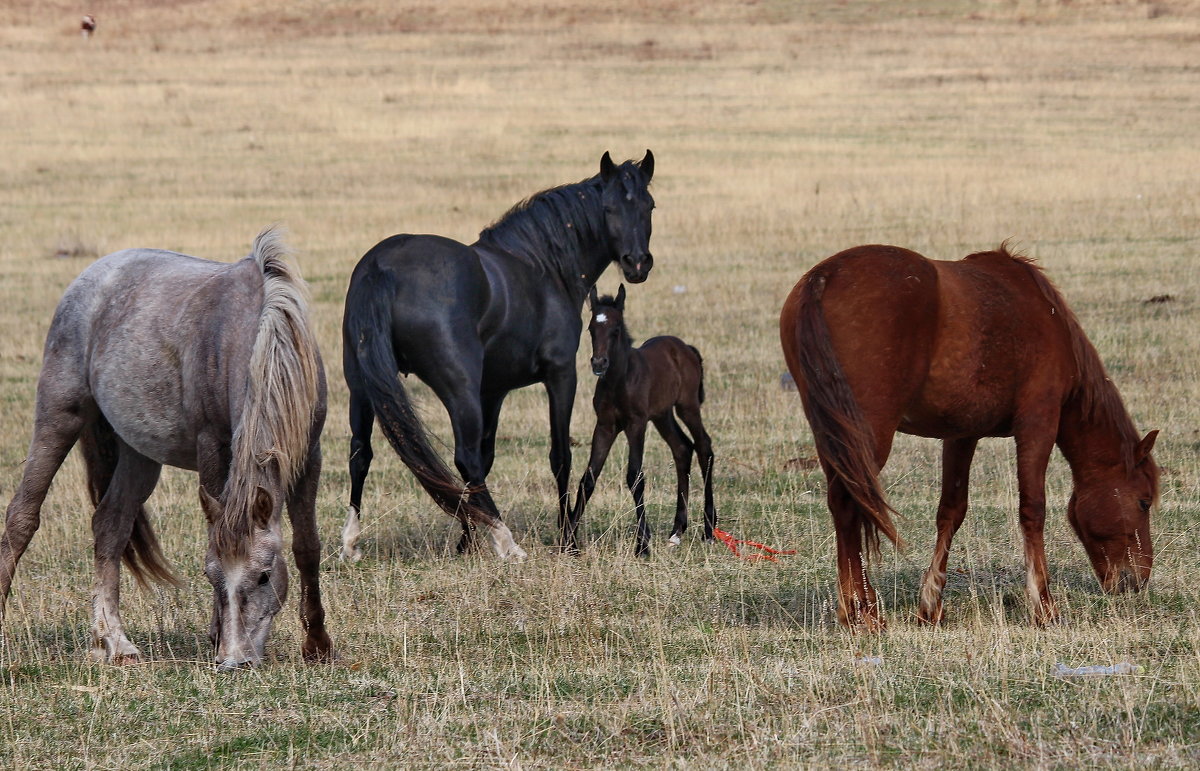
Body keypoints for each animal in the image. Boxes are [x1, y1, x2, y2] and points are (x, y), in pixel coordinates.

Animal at [0, 228, 331, 667]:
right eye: (210, 575)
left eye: (263, 576)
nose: (235, 660)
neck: (260, 336)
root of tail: (91, 276)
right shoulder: (214, 447)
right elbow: (218, 532)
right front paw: (217, 634)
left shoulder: (309, 455)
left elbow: (306, 546)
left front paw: (319, 645)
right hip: (59, 417)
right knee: (22, 516)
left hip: (138, 455)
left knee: (110, 525)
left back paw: (114, 641)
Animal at [338, 150, 657, 557]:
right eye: (610, 208)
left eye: (648, 206)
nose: (637, 263)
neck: (542, 267)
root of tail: (382, 266)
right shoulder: (561, 375)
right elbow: (560, 456)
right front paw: (567, 539)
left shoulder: (494, 391)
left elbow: (488, 458)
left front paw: (467, 539)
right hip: (458, 390)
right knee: (465, 457)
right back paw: (507, 543)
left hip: (361, 386)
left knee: (361, 452)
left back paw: (351, 542)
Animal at [566, 282, 715, 552]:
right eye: (591, 328)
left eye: (615, 330)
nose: (598, 363)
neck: (620, 380)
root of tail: (686, 349)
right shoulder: (605, 425)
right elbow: (588, 478)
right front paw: (570, 541)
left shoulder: (636, 424)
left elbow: (635, 476)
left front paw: (643, 544)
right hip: (662, 415)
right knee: (682, 448)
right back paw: (677, 531)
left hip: (687, 406)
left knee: (704, 447)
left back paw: (709, 529)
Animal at [782, 242, 1156, 629]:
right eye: (1144, 502)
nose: (1138, 580)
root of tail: (823, 277)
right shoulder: (1038, 422)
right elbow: (1032, 509)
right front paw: (1043, 605)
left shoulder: (962, 434)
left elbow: (951, 511)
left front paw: (931, 604)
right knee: (849, 505)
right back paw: (863, 613)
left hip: (833, 436)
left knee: (842, 509)